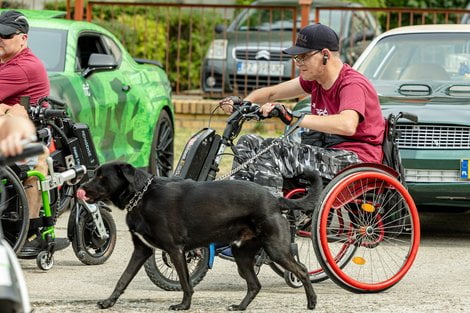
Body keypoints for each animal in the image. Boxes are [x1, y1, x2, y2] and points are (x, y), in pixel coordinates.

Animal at [81, 161, 322, 310]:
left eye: (101, 177)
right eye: (96, 174)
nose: (81, 186)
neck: (142, 196)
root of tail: (275, 199)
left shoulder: (175, 250)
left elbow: (185, 282)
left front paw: (183, 306)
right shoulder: (142, 250)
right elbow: (123, 279)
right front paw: (108, 302)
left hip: (275, 249)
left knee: (302, 270)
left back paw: (311, 302)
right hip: (242, 254)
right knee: (255, 284)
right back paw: (240, 307)